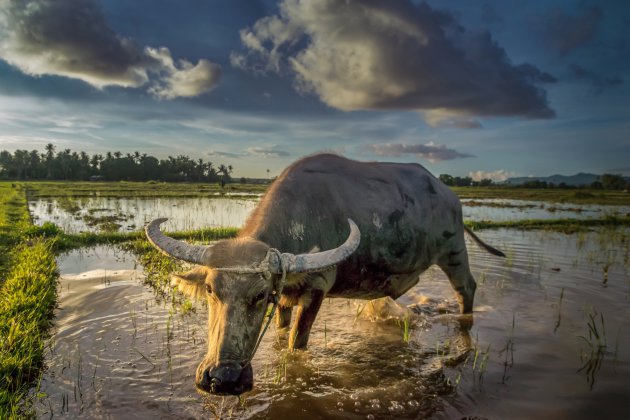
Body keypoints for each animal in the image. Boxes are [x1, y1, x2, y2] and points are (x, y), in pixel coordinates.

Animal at [146, 153, 506, 396]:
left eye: (259, 295)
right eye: (210, 289)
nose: (223, 379)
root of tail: (450, 196)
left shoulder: (316, 290)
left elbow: (297, 344)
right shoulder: (285, 296)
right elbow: (281, 333)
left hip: (454, 252)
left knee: (466, 288)